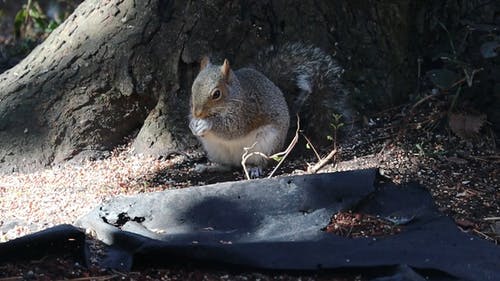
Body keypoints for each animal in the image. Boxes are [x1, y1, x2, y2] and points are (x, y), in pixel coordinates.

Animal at [189, 42, 350, 176]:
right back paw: (209, 167)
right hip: (215, 150)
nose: (197, 113)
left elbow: (233, 130)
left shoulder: (247, 111)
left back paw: (254, 168)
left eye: (216, 94)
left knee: (261, 162)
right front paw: (193, 124)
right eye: (192, 88)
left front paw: (207, 124)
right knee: (228, 166)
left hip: (265, 144)